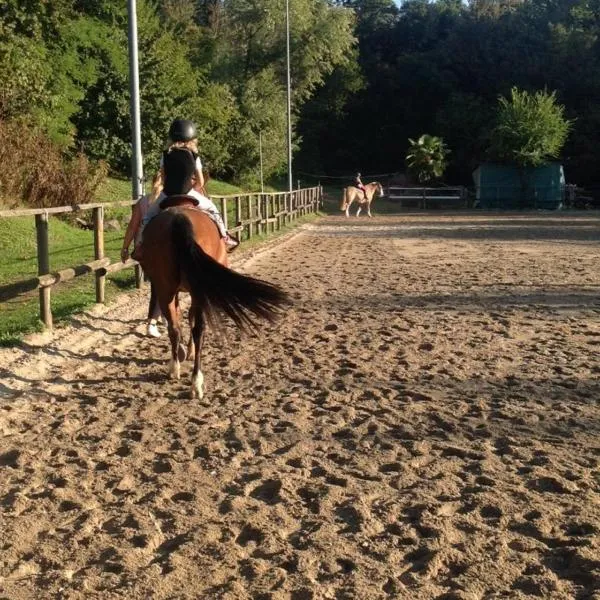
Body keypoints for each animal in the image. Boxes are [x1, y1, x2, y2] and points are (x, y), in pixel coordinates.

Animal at [139, 197, 288, 400]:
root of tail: (179, 218)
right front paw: (189, 351)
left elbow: (181, 318)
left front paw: (185, 351)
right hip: (192, 290)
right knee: (198, 329)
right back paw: (196, 382)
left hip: (166, 288)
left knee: (175, 328)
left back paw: (175, 368)